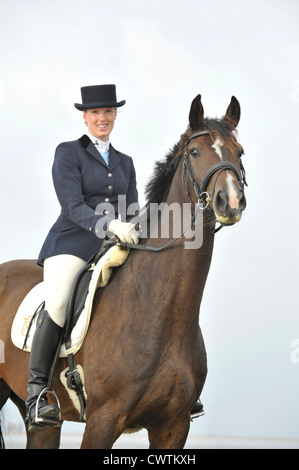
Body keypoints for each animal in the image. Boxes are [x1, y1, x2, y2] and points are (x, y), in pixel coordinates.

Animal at [0, 94, 247, 448]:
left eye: (238, 152)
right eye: (195, 152)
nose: (231, 202)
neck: (163, 312)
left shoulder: (173, 427)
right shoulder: (102, 421)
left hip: (40, 421)